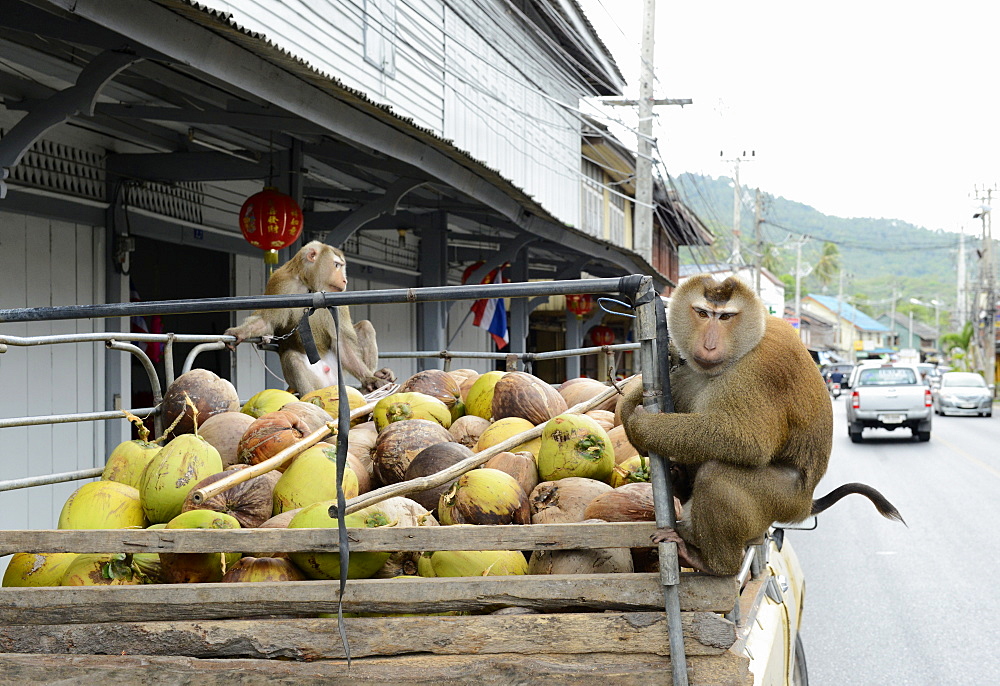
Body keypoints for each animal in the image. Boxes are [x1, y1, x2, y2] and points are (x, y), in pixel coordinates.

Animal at [226, 242, 394, 396]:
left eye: (341, 266)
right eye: (336, 265)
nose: (345, 280)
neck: (311, 287)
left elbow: (341, 340)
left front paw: (369, 378)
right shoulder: (281, 283)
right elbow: (267, 321)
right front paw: (240, 332)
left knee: (365, 326)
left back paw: (369, 384)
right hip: (319, 380)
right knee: (292, 358)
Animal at [616, 276, 908, 576]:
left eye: (725, 317)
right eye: (702, 313)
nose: (708, 345)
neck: (745, 344)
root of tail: (805, 503)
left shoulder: (759, 370)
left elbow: (748, 441)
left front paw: (642, 425)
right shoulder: (687, 371)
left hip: (781, 498)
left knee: (717, 475)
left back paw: (714, 563)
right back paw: (679, 484)